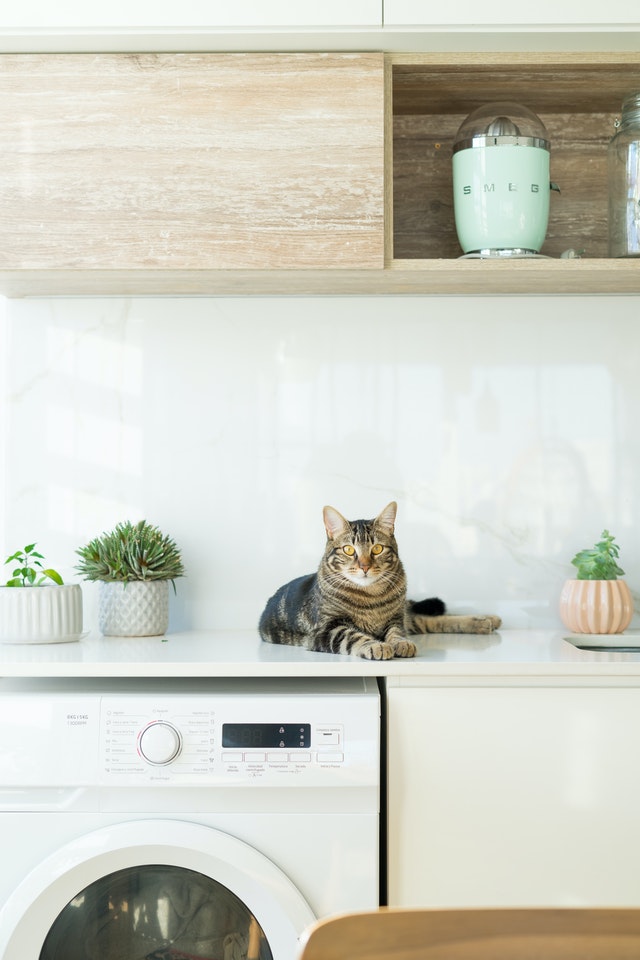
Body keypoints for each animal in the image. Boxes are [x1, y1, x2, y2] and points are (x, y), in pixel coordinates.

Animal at [258, 502, 502, 660]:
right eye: (349, 550)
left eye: (377, 549)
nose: (365, 566)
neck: (370, 597)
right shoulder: (326, 630)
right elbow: (353, 635)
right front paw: (377, 646)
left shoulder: (395, 619)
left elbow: (397, 633)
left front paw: (400, 643)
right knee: (428, 620)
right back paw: (486, 621)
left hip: (405, 613)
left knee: (429, 618)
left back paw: (486, 620)